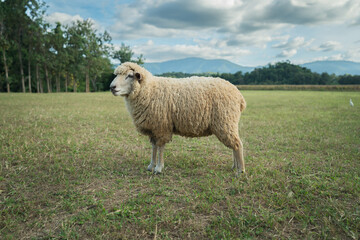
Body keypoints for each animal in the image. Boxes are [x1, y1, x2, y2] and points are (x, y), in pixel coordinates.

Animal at [109, 62, 248, 174]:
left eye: (129, 75)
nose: (112, 87)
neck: (149, 90)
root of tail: (239, 96)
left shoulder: (161, 126)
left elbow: (160, 147)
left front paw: (158, 168)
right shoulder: (153, 128)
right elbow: (154, 147)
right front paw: (151, 166)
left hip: (225, 121)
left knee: (237, 144)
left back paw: (240, 170)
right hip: (228, 122)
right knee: (234, 145)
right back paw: (235, 166)